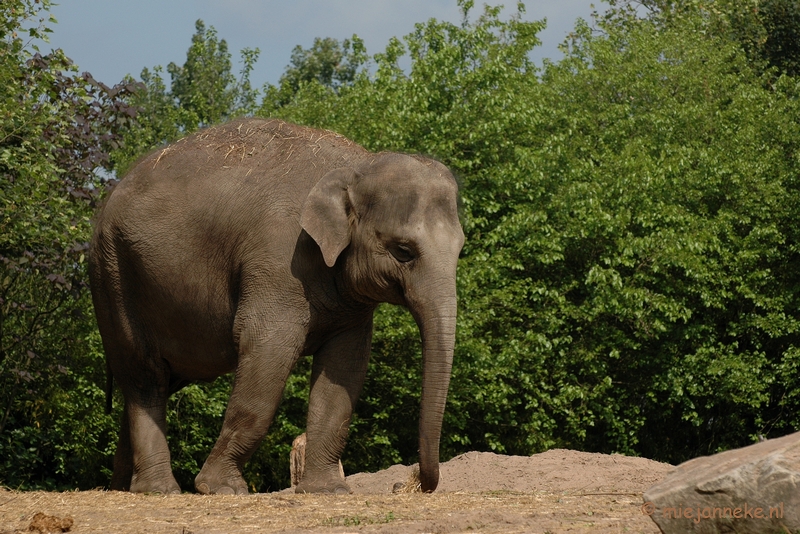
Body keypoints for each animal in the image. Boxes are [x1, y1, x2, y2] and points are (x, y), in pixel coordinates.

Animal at [89, 118, 462, 498]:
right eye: (403, 251)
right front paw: (220, 488)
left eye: (460, 251)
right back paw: (159, 490)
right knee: (144, 375)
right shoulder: (278, 257)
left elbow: (344, 369)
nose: (411, 482)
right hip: (113, 275)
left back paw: (124, 488)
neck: (356, 166)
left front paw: (327, 491)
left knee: (156, 380)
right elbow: (268, 351)